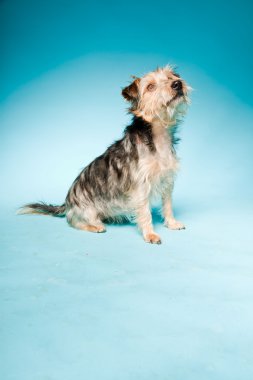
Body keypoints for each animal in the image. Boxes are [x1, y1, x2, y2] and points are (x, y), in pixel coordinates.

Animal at [17, 65, 191, 243]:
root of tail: (67, 203)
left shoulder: (168, 180)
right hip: (87, 211)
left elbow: (167, 205)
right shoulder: (141, 187)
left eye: (170, 77)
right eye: (150, 87)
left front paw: (171, 223)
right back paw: (95, 226)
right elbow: (145, 212)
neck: (158, 136)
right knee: (73, 221)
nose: (177, 83)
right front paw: (150, 234)